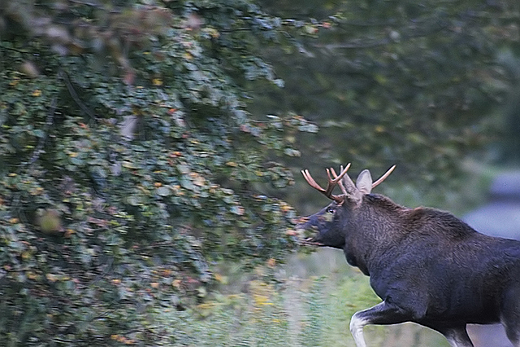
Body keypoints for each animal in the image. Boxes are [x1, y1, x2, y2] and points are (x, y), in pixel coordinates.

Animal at [298, 164, 520, 347]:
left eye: (331, 209)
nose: (299, 226)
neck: (372, 255)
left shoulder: (408, 304)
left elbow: (355, 319)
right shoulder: (450, 323)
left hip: (512, 320)